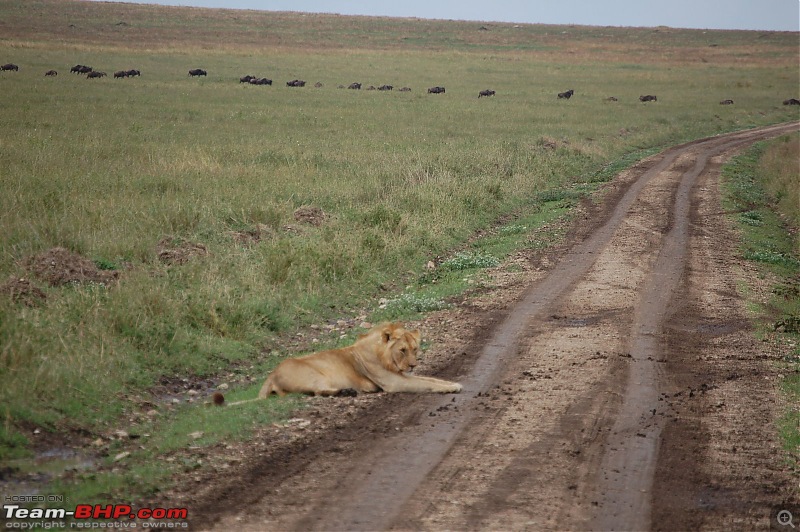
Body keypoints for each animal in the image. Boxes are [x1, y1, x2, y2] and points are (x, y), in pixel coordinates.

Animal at [260, 320, 462, 400]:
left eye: (415, 349)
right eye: (402, 350)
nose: (413, 365)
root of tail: (272, 374)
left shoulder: (402, 375)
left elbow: (431, 379)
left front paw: (453, 383)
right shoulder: (394, 382)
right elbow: (426, 384)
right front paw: (451, 388)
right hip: (314, 375)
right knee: (317, 392)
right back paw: (346, 392)